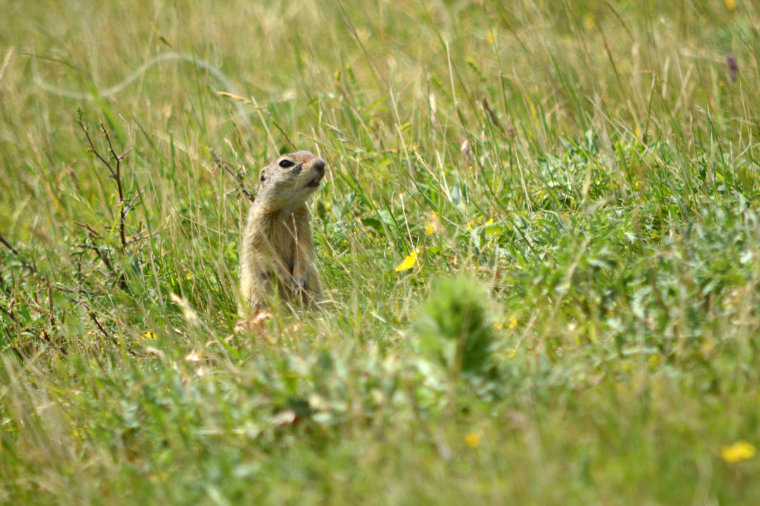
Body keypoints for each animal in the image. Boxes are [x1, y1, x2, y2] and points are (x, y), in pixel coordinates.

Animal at [239, 150, 326, 308]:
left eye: (309, 152)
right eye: (285, 163)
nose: (321, 163)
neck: (285, 209)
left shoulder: (302, 225)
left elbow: (303, 250)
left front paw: (298, 280)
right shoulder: (259, 227)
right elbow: (265, 254)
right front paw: (287, 278)